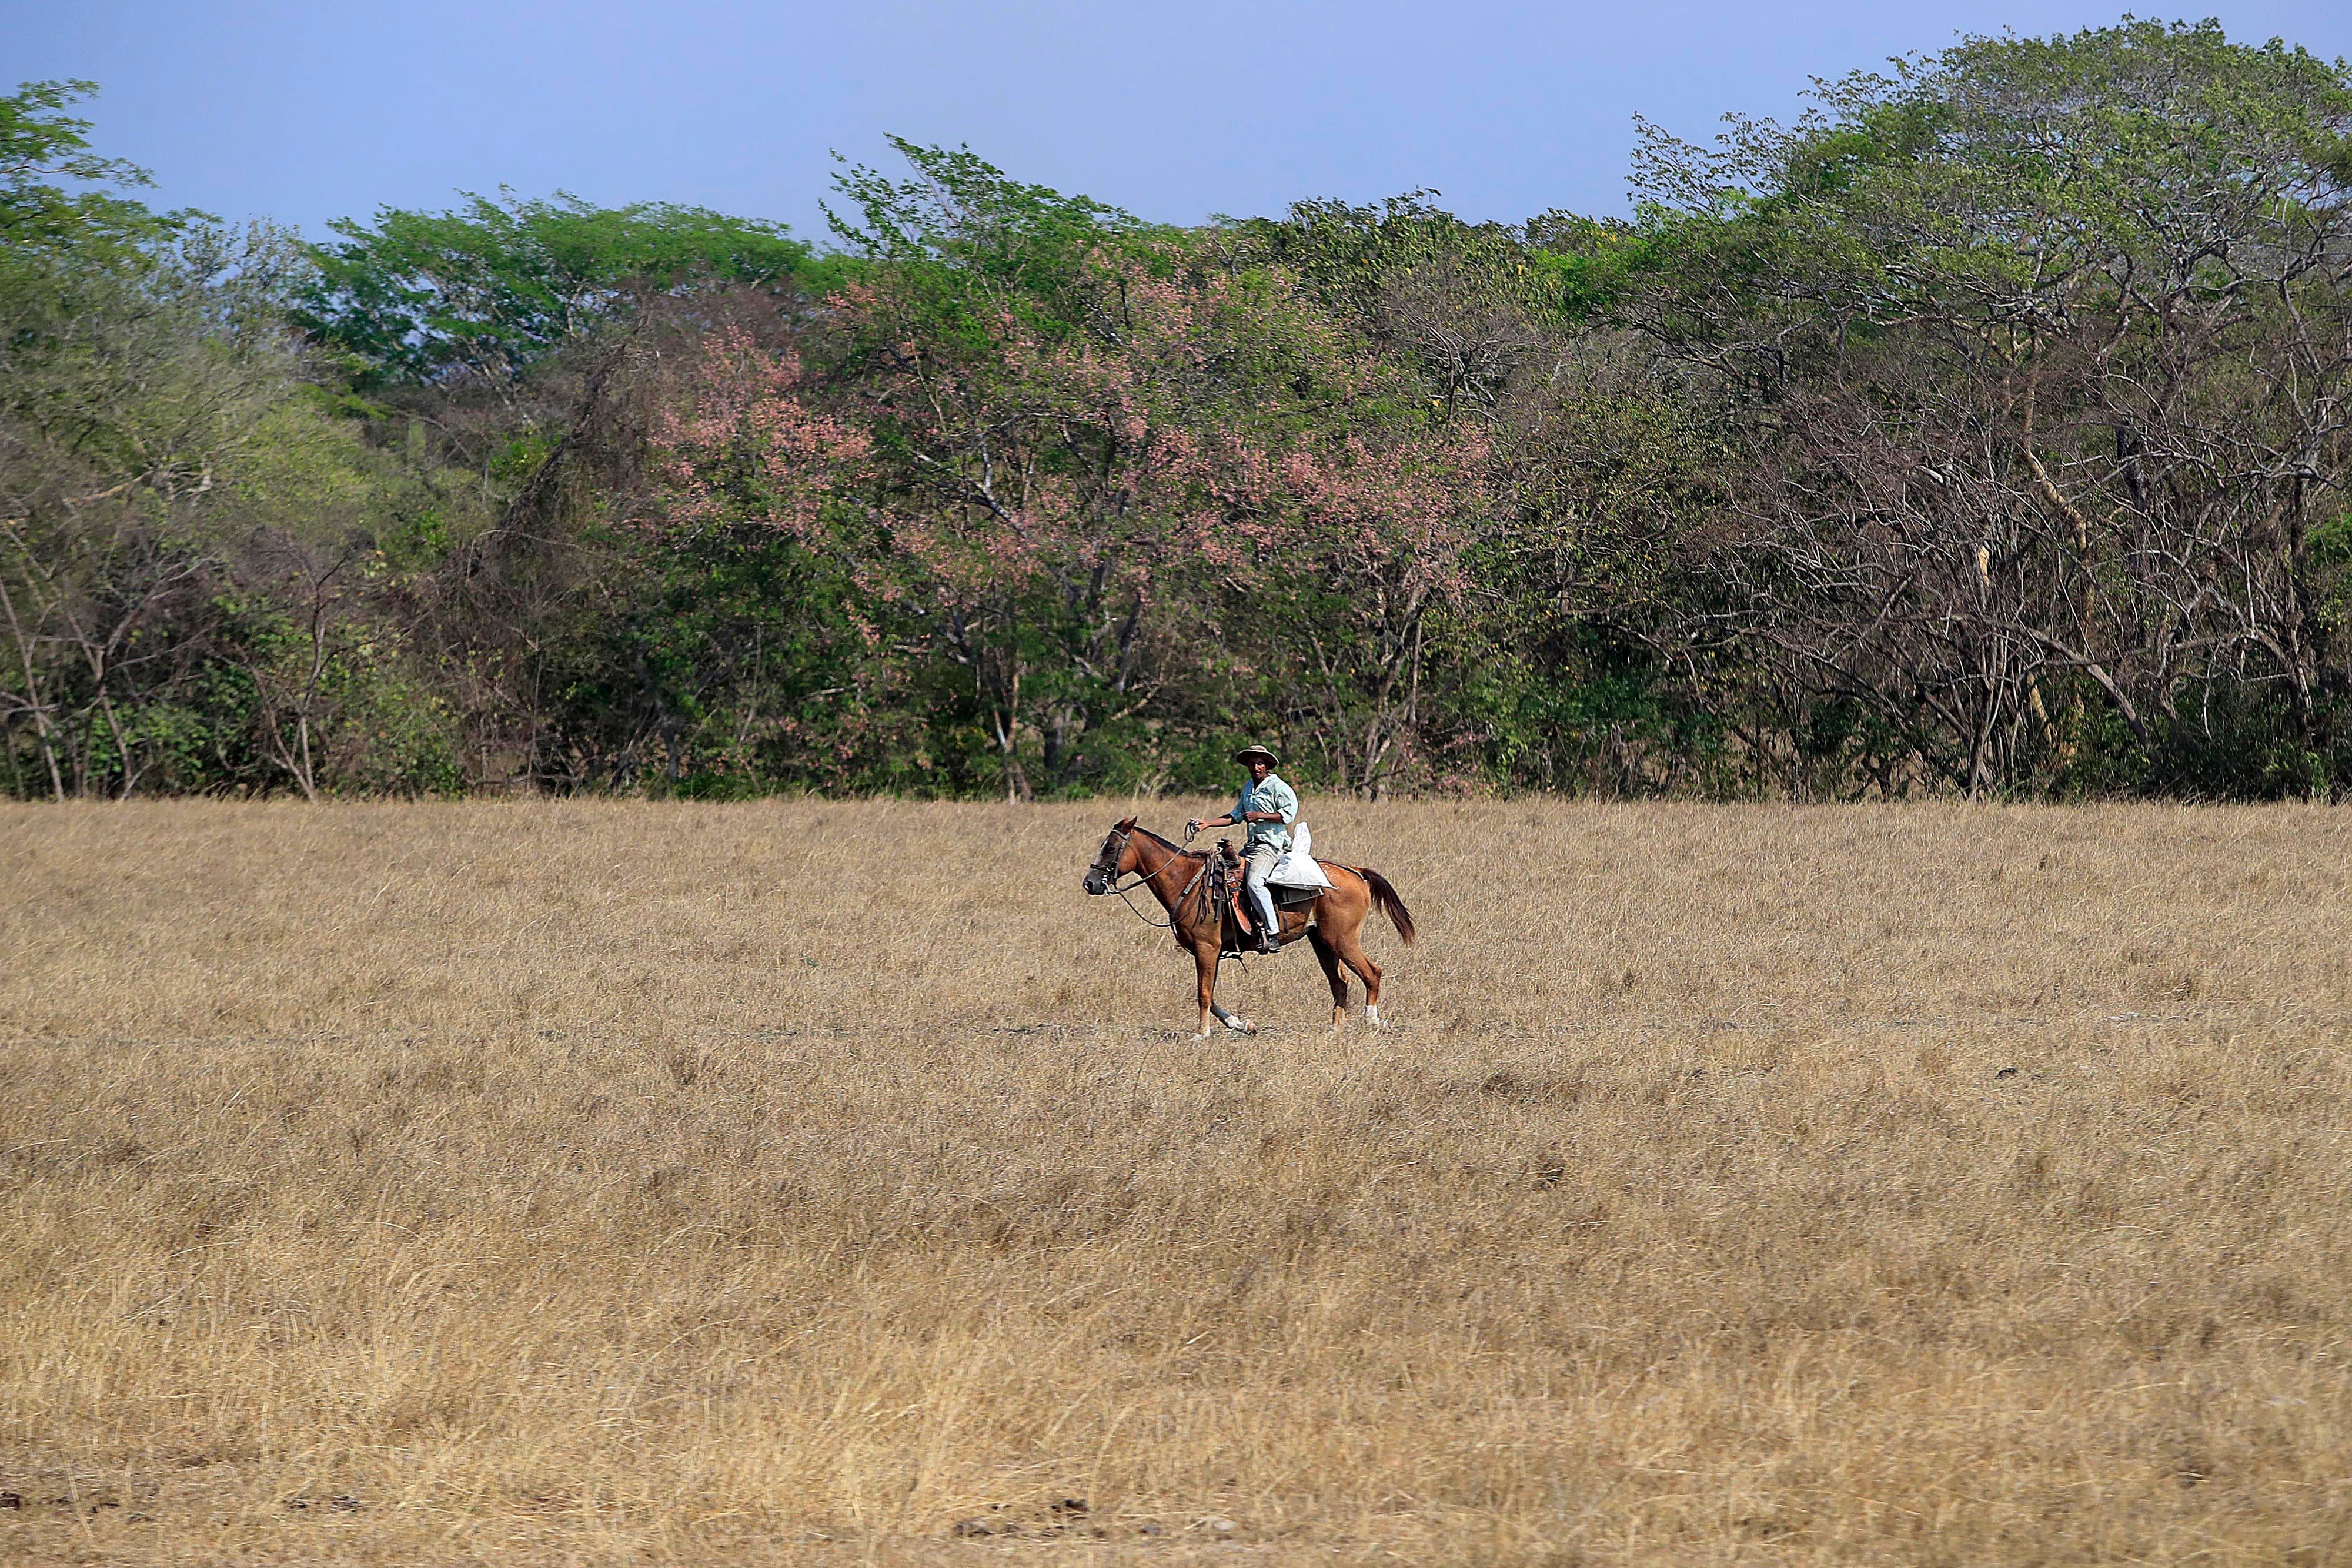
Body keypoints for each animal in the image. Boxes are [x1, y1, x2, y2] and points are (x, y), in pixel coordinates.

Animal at [1082, 818, 1417, 1038]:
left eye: (1111, 848)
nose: (1090, 883)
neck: (1188, 881)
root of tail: (1355, 872)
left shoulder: (1207, 948)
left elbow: (1203, 993)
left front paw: (1202, 1034)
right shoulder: (1209, 952)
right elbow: (1210, 994)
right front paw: (1242, 1025)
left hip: (1342, 940)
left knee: (1372, 973)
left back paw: (1373, 1021)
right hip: (1322, 942)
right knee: (1340, 983)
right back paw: (1335, 1029)